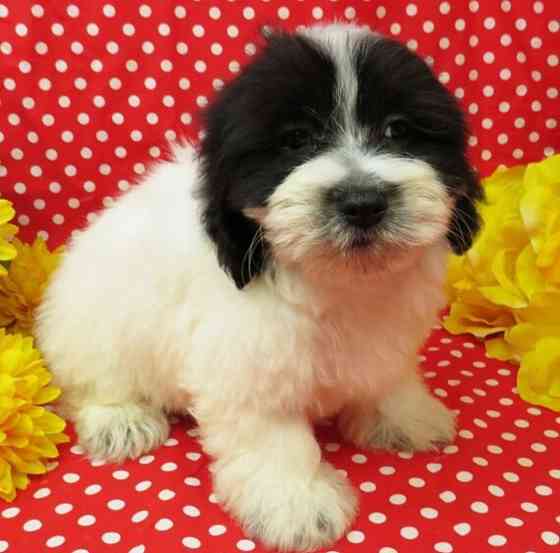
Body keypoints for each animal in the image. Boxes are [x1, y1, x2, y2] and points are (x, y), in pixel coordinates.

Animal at [35, 22, 482, 552]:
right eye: (295, 140)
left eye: (398, 130)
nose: (362, 202)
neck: (335, 279)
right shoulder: (247, 360)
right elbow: (272, 435)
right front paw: (296, 501)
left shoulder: (384, 336)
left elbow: (385, 377)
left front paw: (403, 415)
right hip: (94, 330)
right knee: (91, 381)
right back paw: (119, 419)